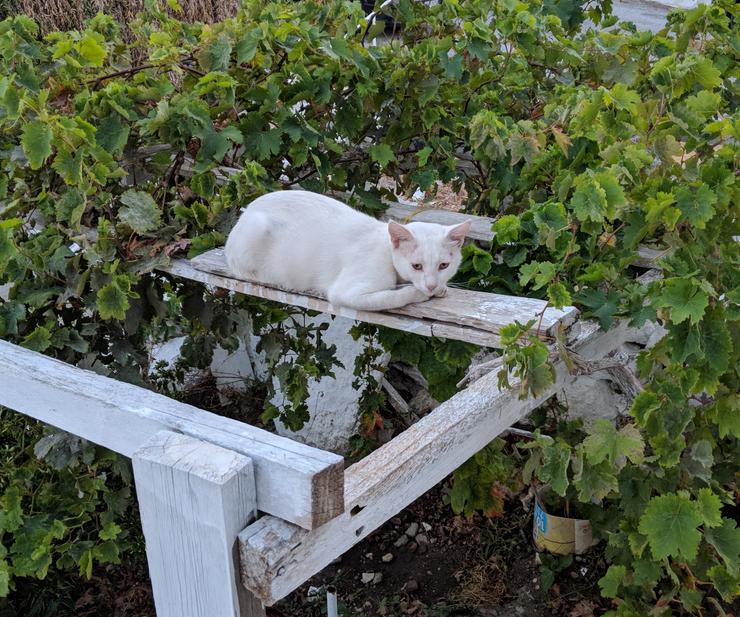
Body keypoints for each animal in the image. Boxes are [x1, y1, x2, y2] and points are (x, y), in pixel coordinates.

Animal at [223, 190, 472, 310]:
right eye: (416, 266)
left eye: (444, 265)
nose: (431, 285)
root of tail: (248, 209)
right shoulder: (346, 292)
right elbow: (394, 296)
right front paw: (419, 293)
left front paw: (440, 288)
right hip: (256, 230)